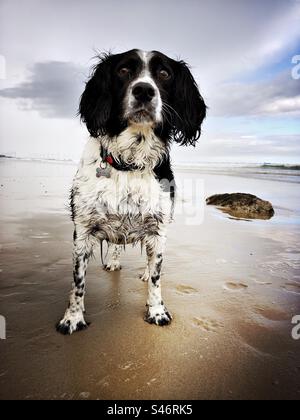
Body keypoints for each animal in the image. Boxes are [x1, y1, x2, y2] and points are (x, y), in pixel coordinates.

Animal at [56, 49, 206, 334]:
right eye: (123, 70)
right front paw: (73, 317)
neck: (130, 161)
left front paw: (157, 311)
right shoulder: (82, 228)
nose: (144, 91)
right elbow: (77, 281)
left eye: (164, 73)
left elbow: (157, 275)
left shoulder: (158, 228)